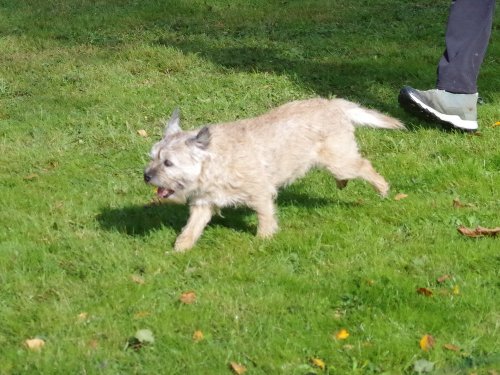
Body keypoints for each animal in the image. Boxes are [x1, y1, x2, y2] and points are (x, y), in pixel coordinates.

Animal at [143, 97, 404, 253]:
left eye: (168, 163)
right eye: (152, 157)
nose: (146, 175)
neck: (214, 163)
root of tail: (333, 104)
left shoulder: (259, 191)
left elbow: (265, 215)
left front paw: (264, 238)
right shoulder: (203, 203)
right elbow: (193, 226)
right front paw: (182, 245)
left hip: (340, 161)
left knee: (364, 165)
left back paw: (382, 188)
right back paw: (343, 183)